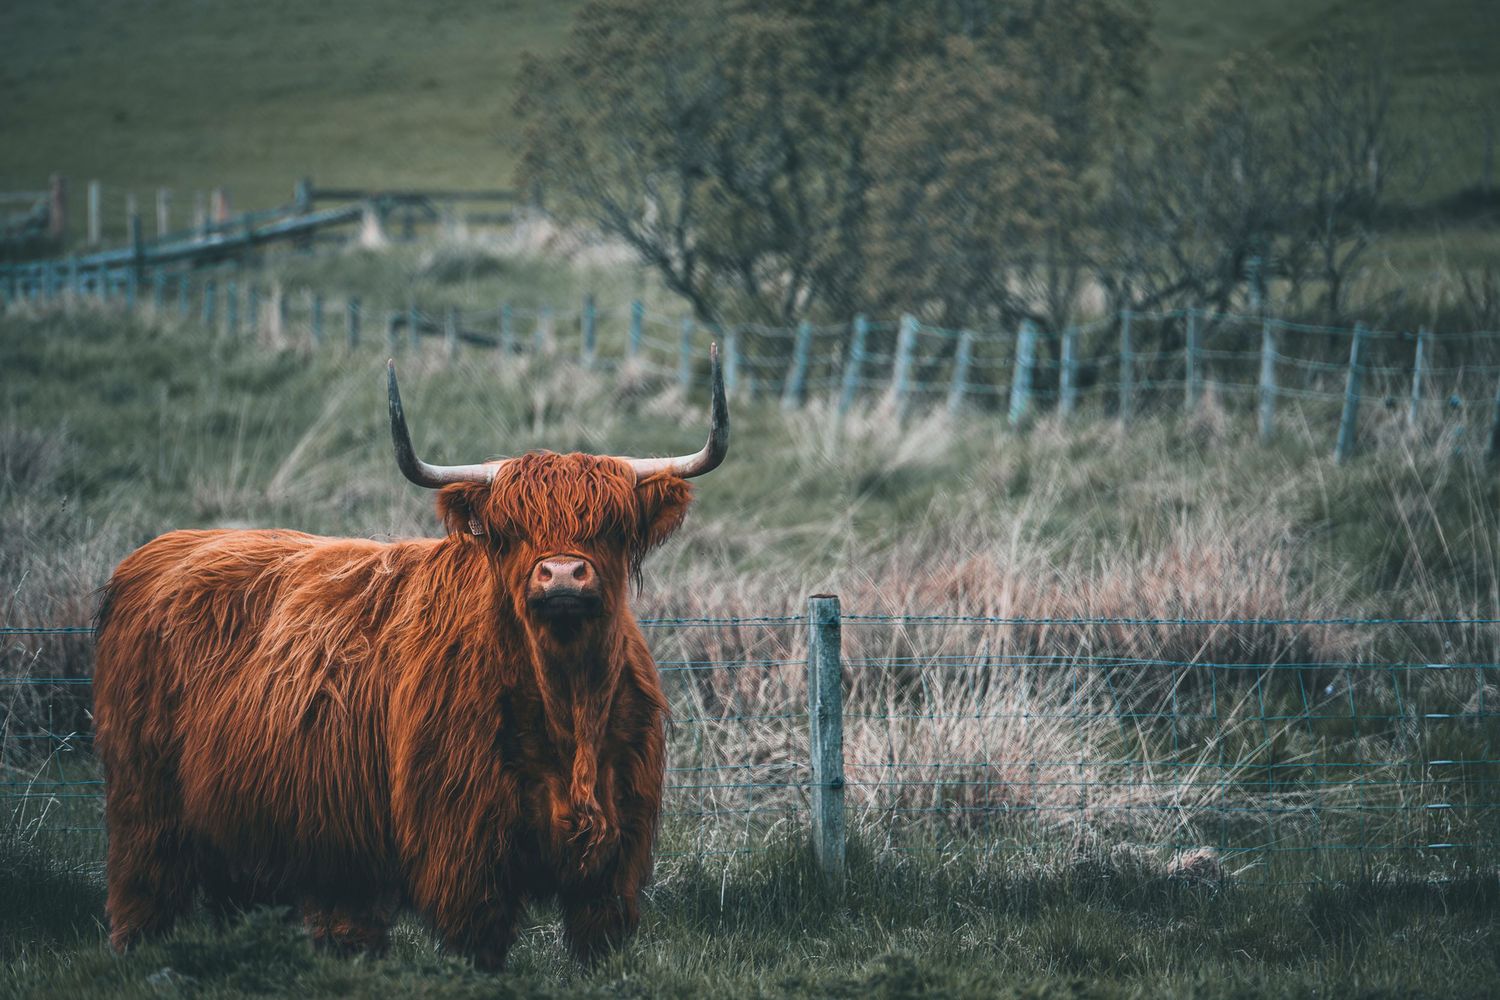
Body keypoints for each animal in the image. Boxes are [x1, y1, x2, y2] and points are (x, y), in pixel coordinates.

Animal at [92, 347, 729, 969]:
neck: (567, 706)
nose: (564, 574)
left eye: (613, 526)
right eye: (510, 530)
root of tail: (160, 551)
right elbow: (478, 952)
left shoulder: (615, 864)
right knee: (143, 892)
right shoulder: (466, 854)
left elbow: (599, 948)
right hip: (145, 803)